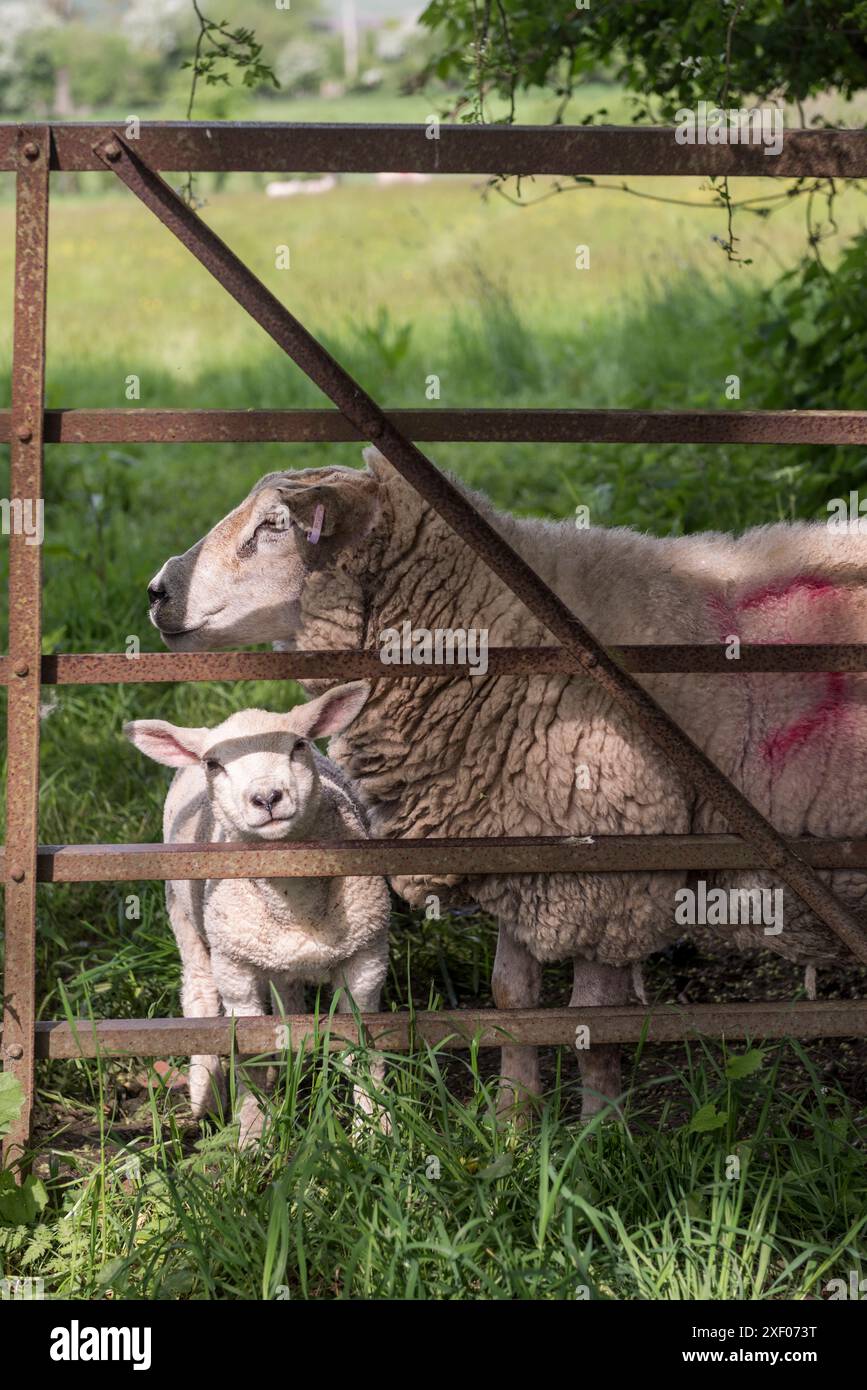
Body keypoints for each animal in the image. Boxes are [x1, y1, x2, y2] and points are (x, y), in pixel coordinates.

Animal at [123, 678, 391, 1145]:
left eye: (299, 745)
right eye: (214, 764)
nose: (266, 797)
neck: (293, 902)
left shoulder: (368, 955)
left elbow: (362, 1043)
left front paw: (374, 1130)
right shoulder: (235, 969)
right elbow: (248, 1045)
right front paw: (251, 1134)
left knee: (288, 1000)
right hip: (186, 919)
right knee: (198, 993)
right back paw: (206, 1094)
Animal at [145, 450, 867, 1123]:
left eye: (275, 526)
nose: (155, 591)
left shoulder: (611, 872)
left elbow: (592, 1016)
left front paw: (597, 1128)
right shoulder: (524, 839)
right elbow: (512, 999)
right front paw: (512, 1125)